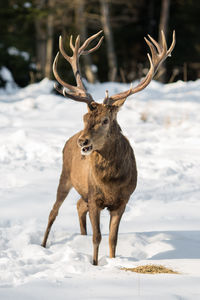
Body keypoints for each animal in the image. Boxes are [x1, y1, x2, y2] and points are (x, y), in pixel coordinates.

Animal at [41, 29, 175, 264]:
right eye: (85, 117)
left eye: (105, 120)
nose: (83, 141)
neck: (111, 182)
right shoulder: (95, 198)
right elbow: (98, 237)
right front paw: (94, 264)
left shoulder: (123, 201)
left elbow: (113, 238)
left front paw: (112, 262)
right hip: (65, 175)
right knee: (53, 211)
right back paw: (42, 245)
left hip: (82, 190)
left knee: (78, 205)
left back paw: (79, 236)